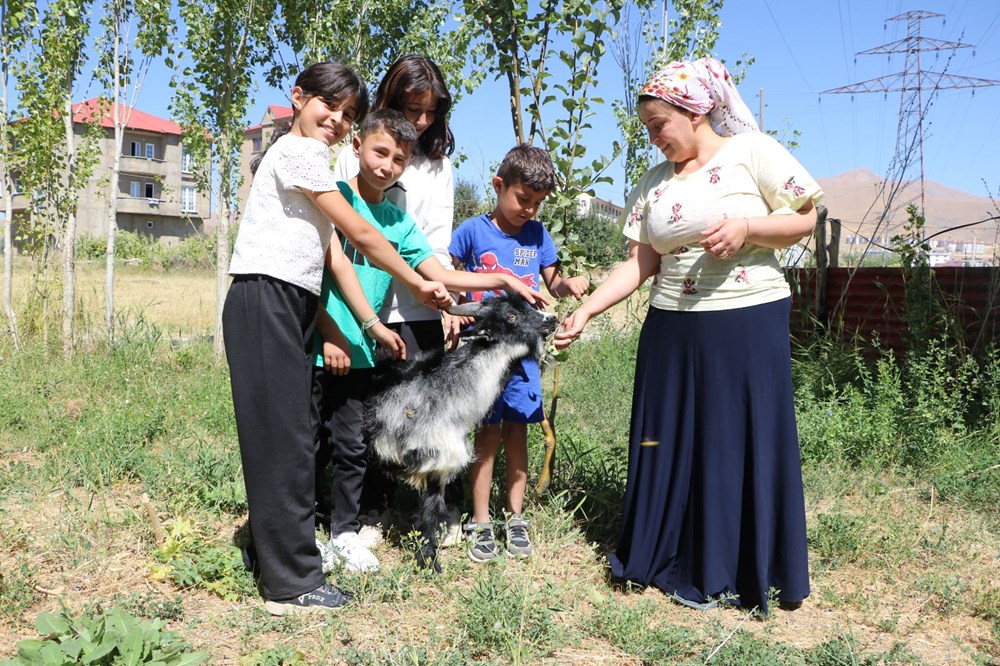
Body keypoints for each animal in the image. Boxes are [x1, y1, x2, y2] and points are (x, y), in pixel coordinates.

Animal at [364, 294, 560, 568]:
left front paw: (438, 545)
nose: (552, 318)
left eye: (530, 306)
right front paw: (429, 561)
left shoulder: (442, 460)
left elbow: (439, 501)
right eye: (511, 316)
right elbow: (429, 510)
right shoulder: (432, 456)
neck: (445, 393)